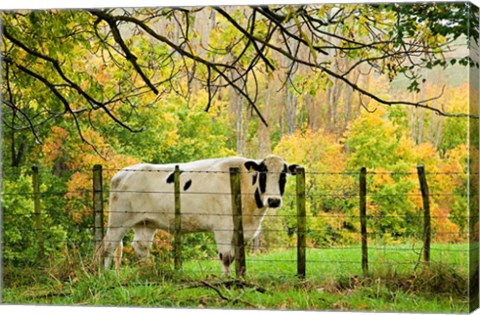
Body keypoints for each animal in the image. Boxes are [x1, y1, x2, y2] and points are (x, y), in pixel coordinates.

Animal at [100, 155, 298, 274]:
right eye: (263, 174)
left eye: (283, 176)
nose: (273, 200)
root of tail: (121, 173)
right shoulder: (223, 227)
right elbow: (226, 257)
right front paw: (227, 281)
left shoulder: (240, 231)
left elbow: (236, 257)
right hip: (119, 218)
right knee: (108, 245)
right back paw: (103, 274)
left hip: (146, 222)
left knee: (140, 247)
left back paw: (151, 271)